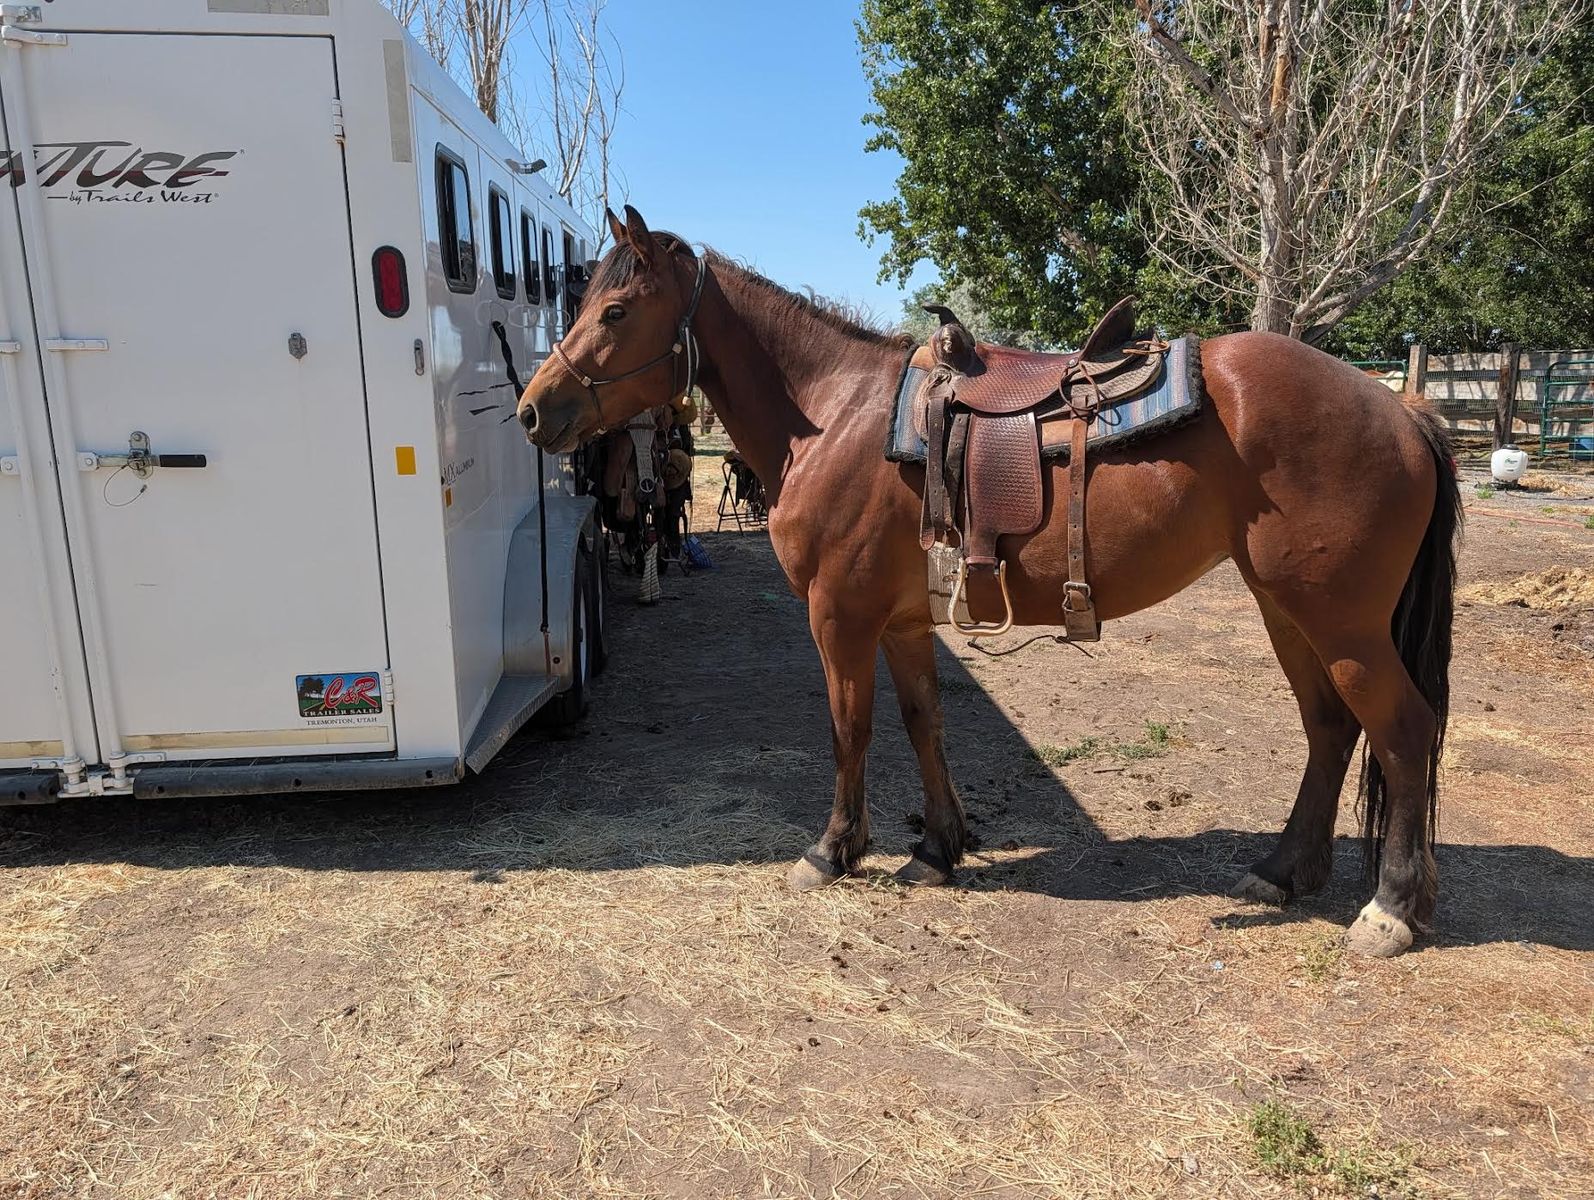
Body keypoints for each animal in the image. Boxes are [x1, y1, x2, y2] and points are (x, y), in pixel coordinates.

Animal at [517, 206, 1461, 958]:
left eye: (616, 310)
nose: (533, 409)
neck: (835, 415)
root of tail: (1399, 405)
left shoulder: (840, 618)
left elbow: (850, 730)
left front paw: (832, 851)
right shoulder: (900, 623)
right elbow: (923, 724)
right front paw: (939, 847)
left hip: (1339, 622)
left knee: (1403, 730)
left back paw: (1390, 910)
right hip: (1287, 612)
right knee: (1332, 728)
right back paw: (1282, 872)